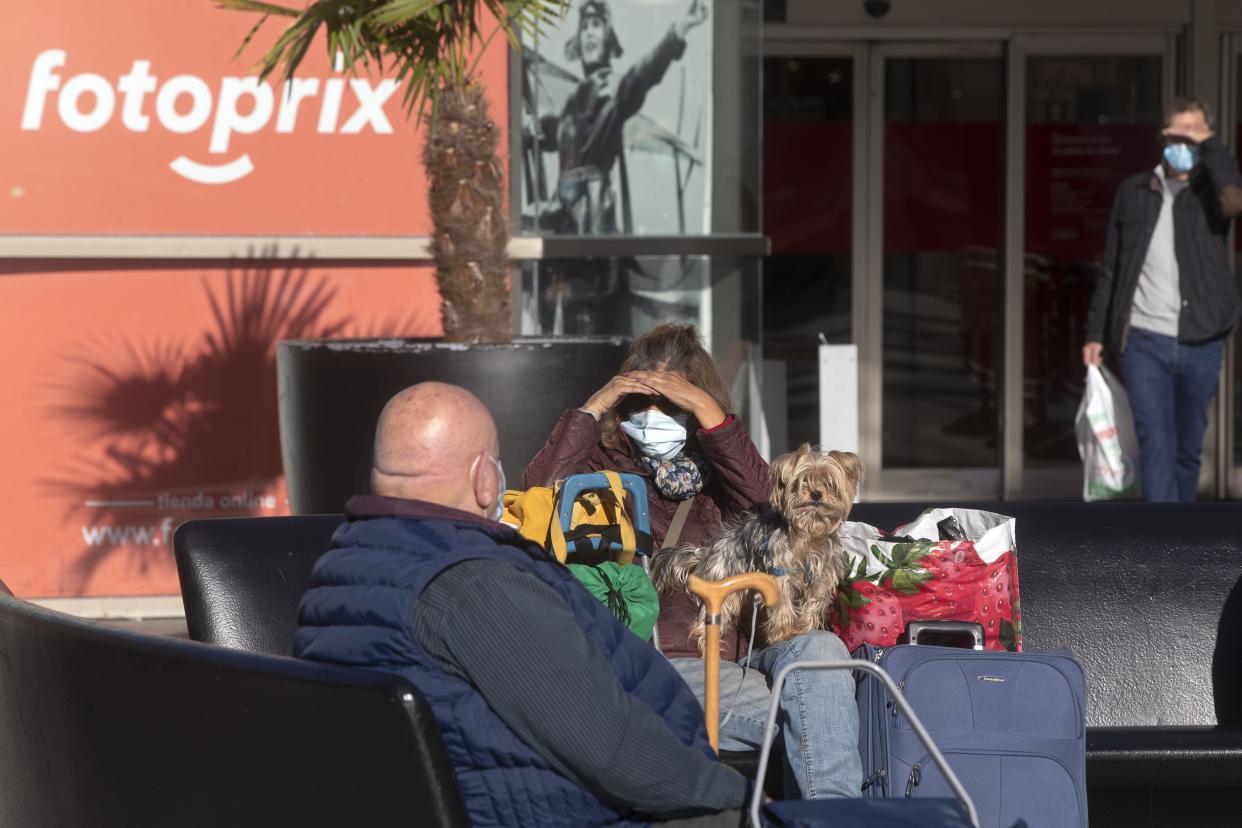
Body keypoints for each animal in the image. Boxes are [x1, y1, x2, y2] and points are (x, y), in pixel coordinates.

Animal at [650, 444, 864, 655]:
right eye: (802, 482)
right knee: (706, 623)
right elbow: (782, 605)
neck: (808, 534)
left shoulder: (821, 578)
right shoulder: (780, 575)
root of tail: (705, 551)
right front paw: (784, 634)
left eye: (829, 483)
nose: (816, 494)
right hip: (721, 586)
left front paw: (805, 629)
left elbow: (813, 604)